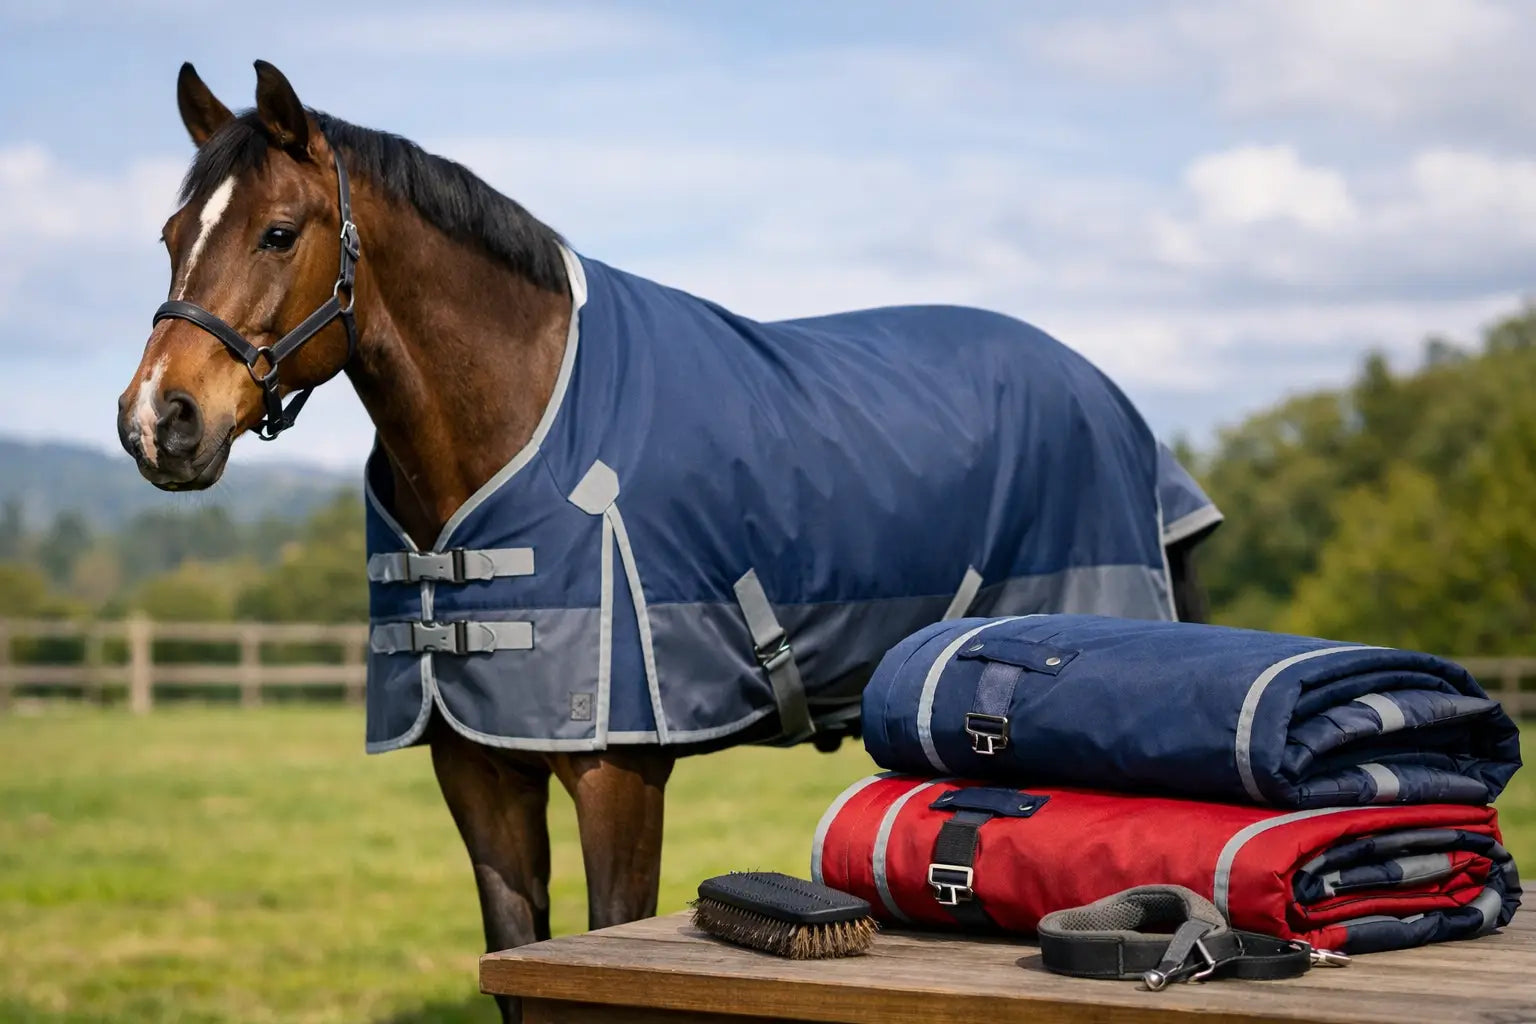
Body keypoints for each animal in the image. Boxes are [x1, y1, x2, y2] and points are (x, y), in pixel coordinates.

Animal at [117, 61, 1219, 1022]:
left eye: (277, 232)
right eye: (171, 234)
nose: (156, 421)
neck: (524, 415)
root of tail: (1118, 408)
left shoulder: (619, 774)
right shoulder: (478, 770)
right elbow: (519, 955)